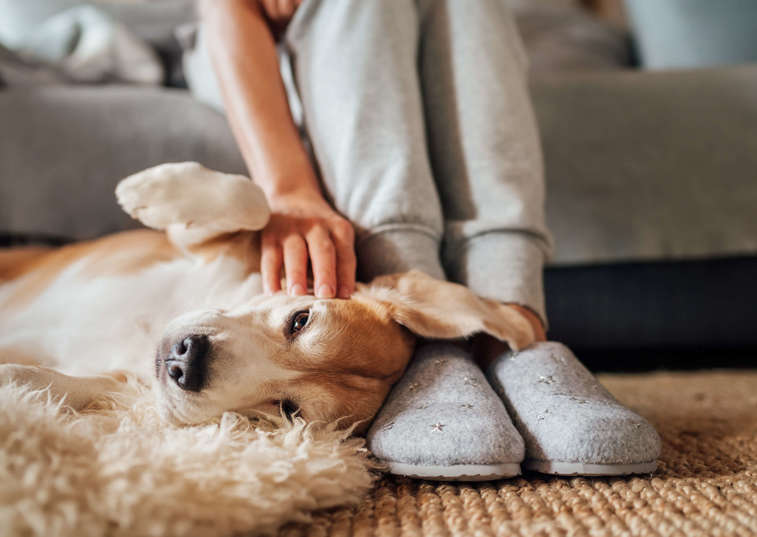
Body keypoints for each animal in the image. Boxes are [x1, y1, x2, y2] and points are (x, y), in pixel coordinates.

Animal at [0, 161, 532, 430]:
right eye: (300, 319)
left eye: (288, 409)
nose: (186, 361)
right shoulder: (202, 247)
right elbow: (252, 201)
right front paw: (150, 190)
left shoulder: (119, 382)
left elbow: (59, 383)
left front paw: (15, 387)